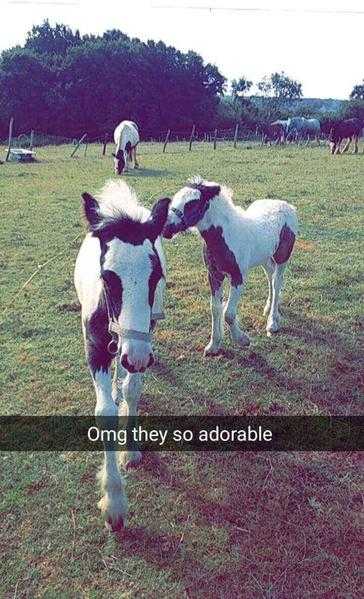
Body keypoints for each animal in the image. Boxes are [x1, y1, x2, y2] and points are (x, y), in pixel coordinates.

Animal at [75, 180, 171, 532]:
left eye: (156, 276)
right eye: (107, 277)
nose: (137, 358)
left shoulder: (142, 344)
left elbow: (133, 388)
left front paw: (130, 450)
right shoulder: (95, 347)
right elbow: (105, 412)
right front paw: (114, 503)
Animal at [164, 178, 298, 356]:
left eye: (192, 203)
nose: (165, 228)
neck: (226, 235)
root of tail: (287, 206)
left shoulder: (238, 276)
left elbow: (228, 313)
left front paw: (242, 339)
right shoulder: (214, 275)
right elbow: (215, 308)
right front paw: (213, 345)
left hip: (282, 257)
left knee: (277, 284)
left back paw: (272, 322)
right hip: (264, 257)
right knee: (270, 276)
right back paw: (268, 307)